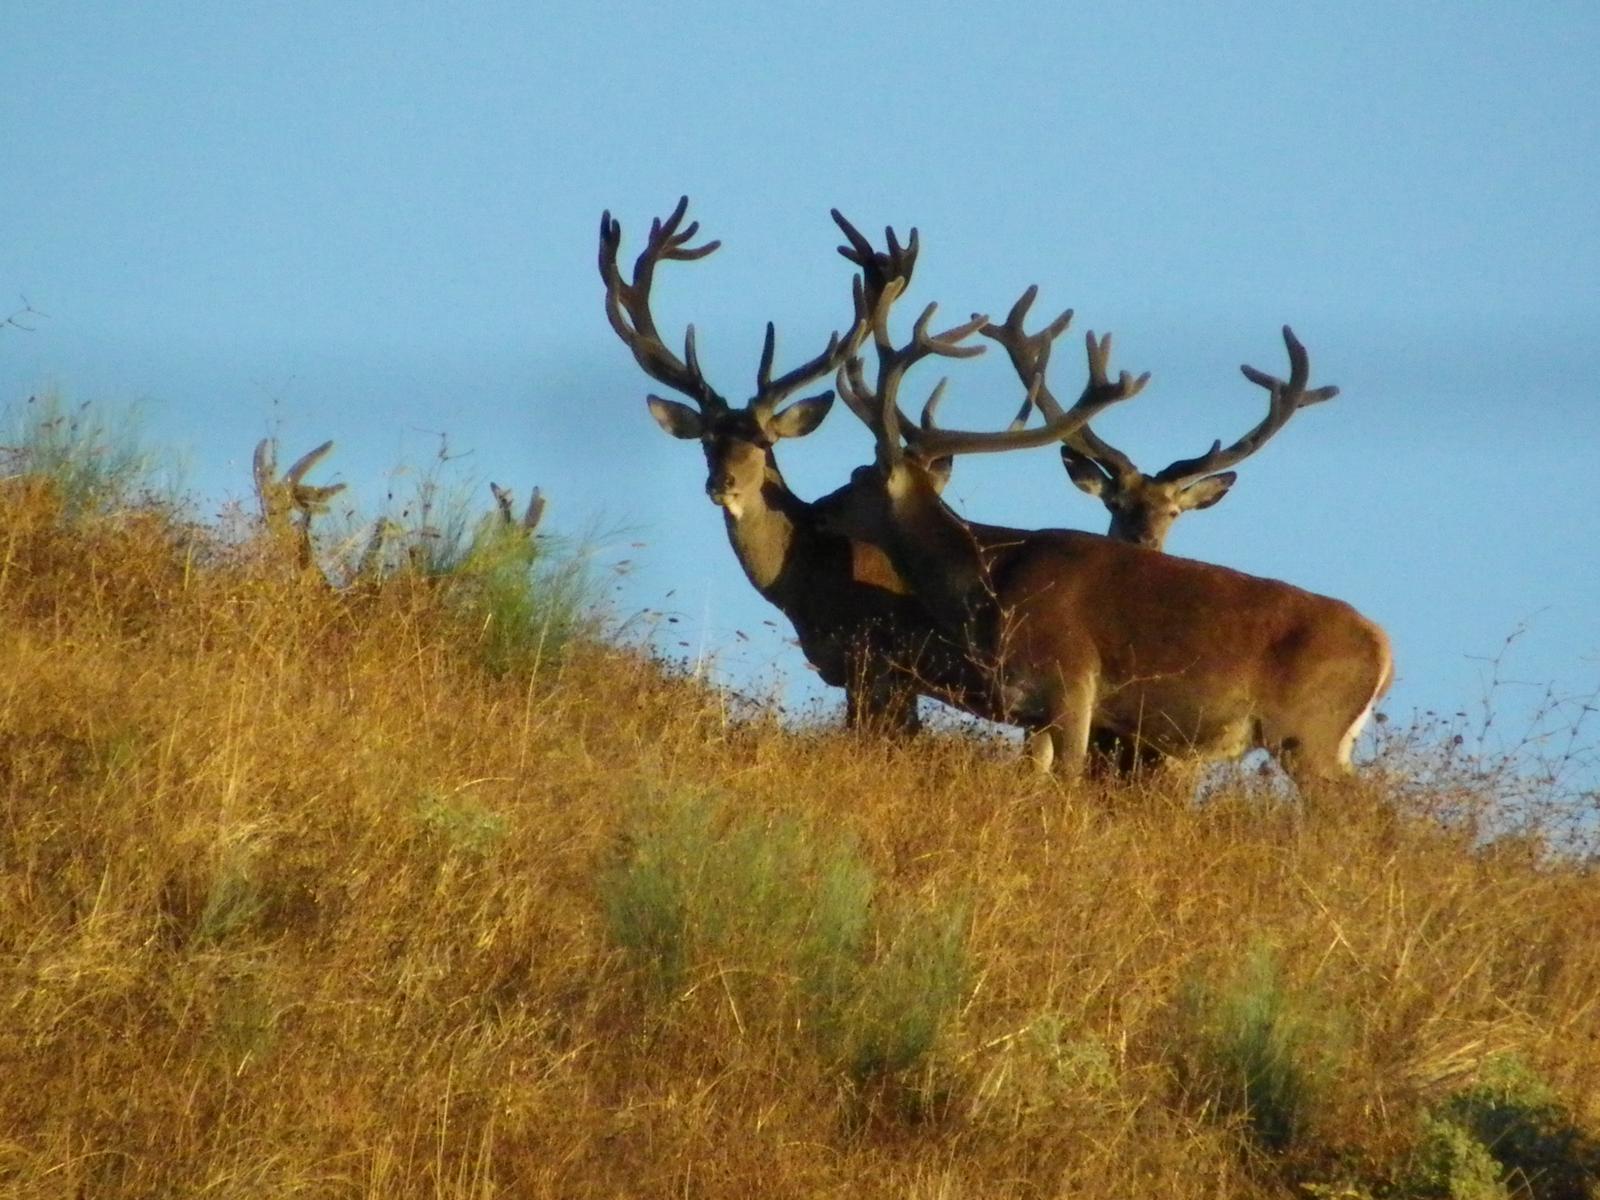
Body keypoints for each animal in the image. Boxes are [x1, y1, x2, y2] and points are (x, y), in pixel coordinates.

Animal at [815, 275, 1393, 784]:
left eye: (858, 476)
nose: (820, 507)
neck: (988, 587)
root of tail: (1384, 649)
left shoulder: (1070, 684)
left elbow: (1067, 780)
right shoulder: (1035, 710)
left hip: (1308, 731)